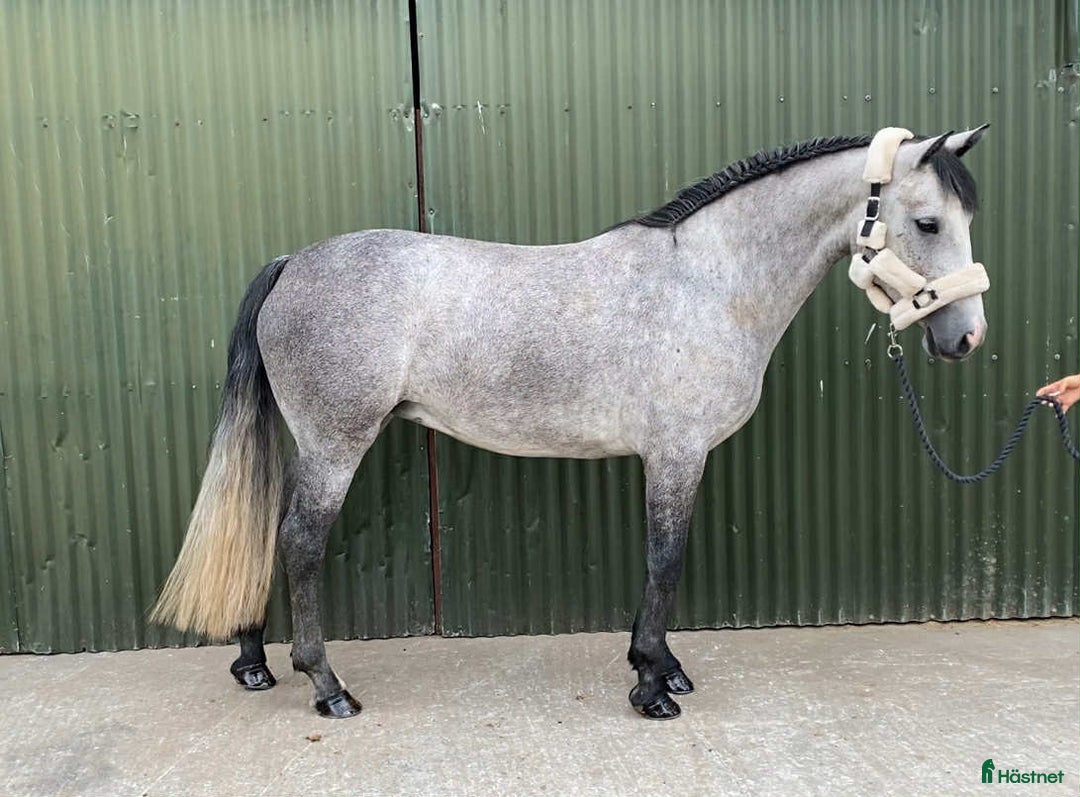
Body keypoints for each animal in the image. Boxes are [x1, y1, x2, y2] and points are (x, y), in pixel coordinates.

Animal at [152, 126, 991, 720]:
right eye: (926, 222)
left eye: (965, 218)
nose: (966, 339)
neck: (708, 281)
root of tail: (293, 263)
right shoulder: (676, 453)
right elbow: (665, 561)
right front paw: (652, 685)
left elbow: (657, 562)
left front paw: (660, 667)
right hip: (336, 443)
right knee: (299, 542)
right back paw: (327, 687)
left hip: (305, 443)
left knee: (263, 524)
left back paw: (254, 661)